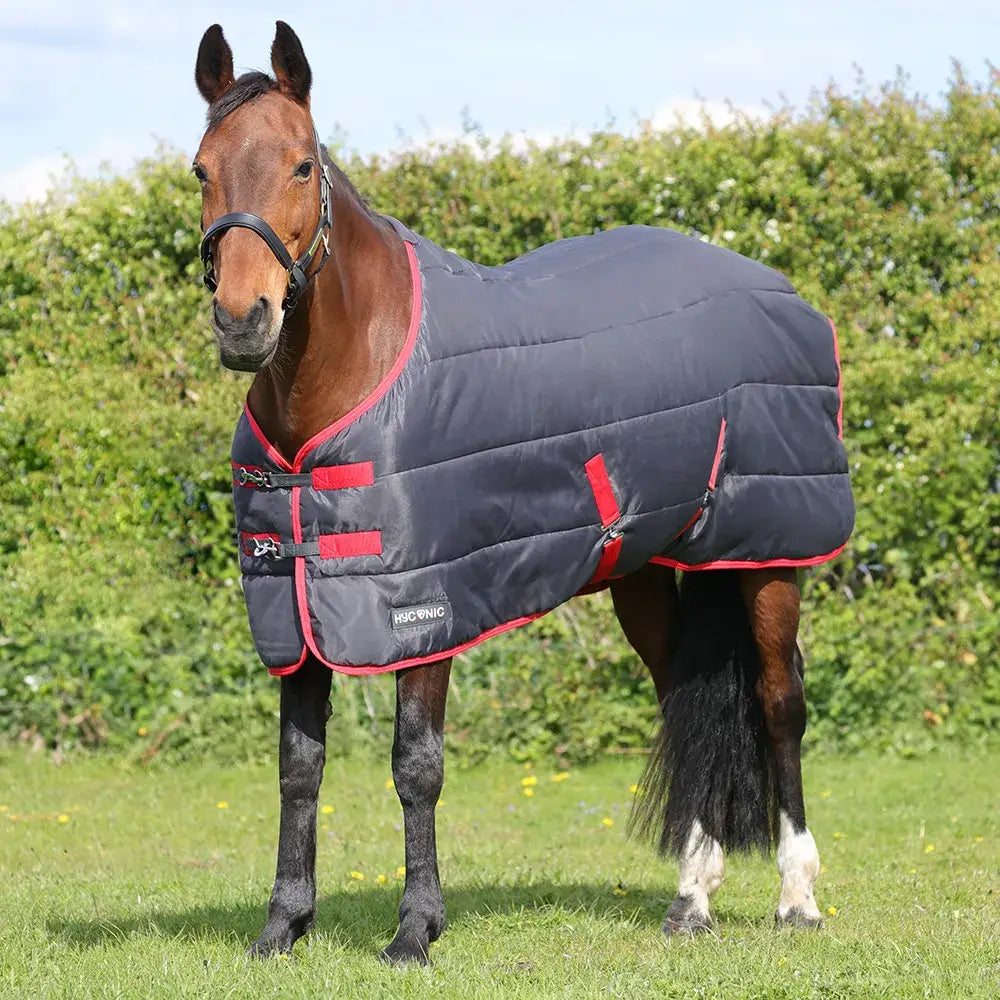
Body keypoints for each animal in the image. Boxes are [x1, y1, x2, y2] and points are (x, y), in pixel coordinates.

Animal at [193, 21, 848, 965]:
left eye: (302, 165)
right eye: (200, 169)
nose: (246, 320)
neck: (356, 376)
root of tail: (784, 293)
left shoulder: (425, 613)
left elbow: (416, 766)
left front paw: (415, 930)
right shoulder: (300, 614)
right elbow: (298, 769)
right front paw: (283, 925)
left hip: (770, 554)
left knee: (779, 701)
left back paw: (797, 895)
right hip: (646, 571)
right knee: (684, 700)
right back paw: (692, 897)